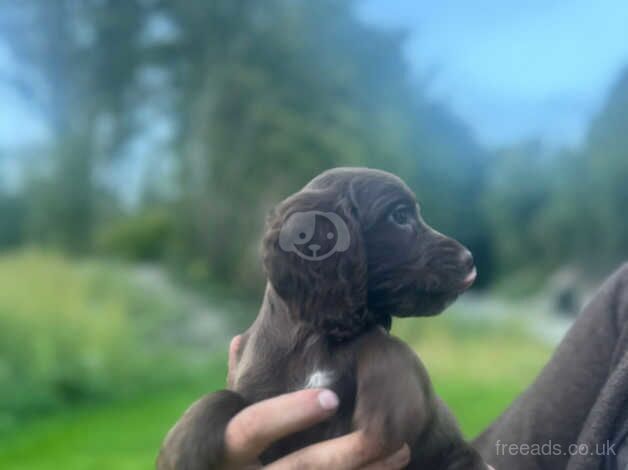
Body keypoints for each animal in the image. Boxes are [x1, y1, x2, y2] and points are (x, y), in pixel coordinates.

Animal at [157, 167, 486, 468]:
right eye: (400, 216)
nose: (470, 260)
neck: (316, 339)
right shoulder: (260, 397)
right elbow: (222, 397)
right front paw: (181, 447)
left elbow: (388, 345)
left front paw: (392, 403)